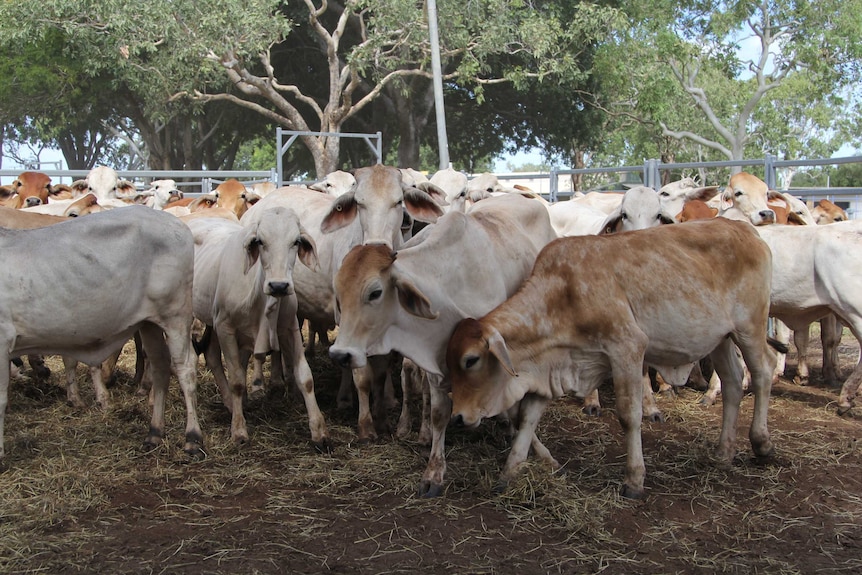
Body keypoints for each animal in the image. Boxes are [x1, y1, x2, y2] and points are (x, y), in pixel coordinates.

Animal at [0, 207, 204, 464]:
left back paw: (193, 438)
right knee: (159, 367)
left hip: (175, 316)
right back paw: (154, 432)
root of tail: (178, 224)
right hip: (149, 323)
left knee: (186, 368)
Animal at [330, 192, 560, 496]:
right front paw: (434, 472)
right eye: (339, 295)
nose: (340, 354)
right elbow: (439, 413)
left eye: (375, 292)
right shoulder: (435, 363)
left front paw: (537, 451)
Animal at [448, 218, 780, 498]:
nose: (458, 417)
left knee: (764, 370)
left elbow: (629, 415)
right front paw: (508, 473)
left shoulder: (627, 348)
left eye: (471, 360)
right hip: (720, 339)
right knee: (733, 383)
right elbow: (528, 417)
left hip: (750, 327)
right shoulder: (553, 367)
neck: (563, 293)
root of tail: (744, 228)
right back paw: (724, 453)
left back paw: (762, 443)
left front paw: (634, 479)